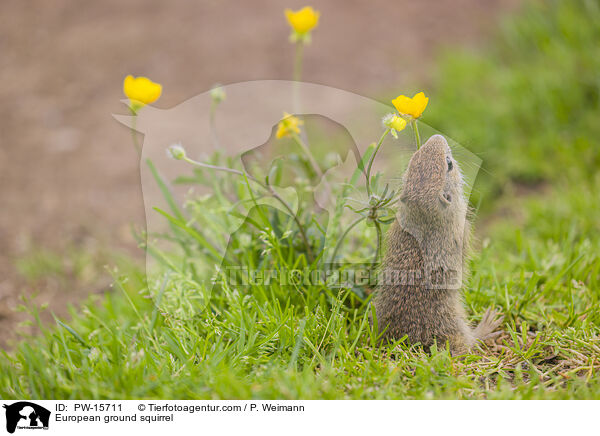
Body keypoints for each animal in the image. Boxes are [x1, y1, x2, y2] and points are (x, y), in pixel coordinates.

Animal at [376, 134, 502, 354]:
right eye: (449, 164)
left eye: (414, 158)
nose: (438, 136)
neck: (424, 219)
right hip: (454, 326)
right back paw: (486, 327)